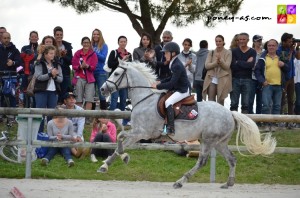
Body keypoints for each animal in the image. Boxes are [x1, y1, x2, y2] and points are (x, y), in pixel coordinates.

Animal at [100, 60, 276, 189]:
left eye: (116, 73)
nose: (102, 89)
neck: (145, 99)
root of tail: (230, 113)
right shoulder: (138, 132)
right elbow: (120, 141)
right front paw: (109, 164)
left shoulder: (142, 132)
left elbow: (120, 137)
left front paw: (121, 159)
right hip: (218, 142)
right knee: (231, 159)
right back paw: (228, 183)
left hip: (209, 140)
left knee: (202, 161)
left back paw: (180, 181)